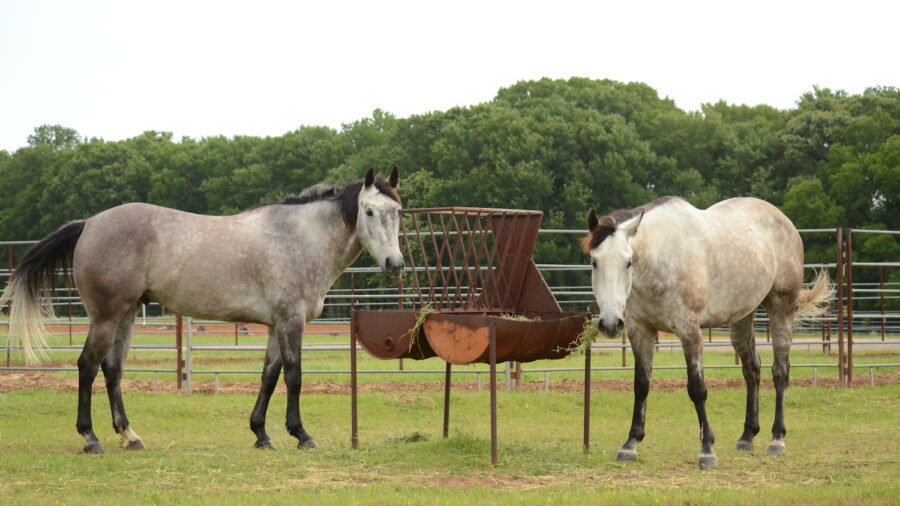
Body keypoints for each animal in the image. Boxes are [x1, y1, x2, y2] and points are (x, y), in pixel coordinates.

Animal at [0, 168, 404, 454]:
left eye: (398, 212)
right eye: (369, 211)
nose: (394, 264)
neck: (299, 237)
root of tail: (89, 224)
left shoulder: (275, 325)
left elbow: (268, 377)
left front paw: (261, 433)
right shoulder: (291, 321)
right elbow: (294, 376)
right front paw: (301, 434)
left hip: (125, 314)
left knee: (111, 368)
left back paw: (130, 435)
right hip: (105, 315)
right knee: (87, 365)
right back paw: (91, 438)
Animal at [582, 196, 831, 469]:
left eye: (628, 261)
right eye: (595, 262)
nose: (610, 323)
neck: (662, 259)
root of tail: (785, 222)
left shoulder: (689, 330)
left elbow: (697, 388)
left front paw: (707, 449)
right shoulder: (640, 331)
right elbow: (641, 385)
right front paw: (630, 444)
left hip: (781, 309)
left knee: (780, 372)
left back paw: (777, 439)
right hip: (742, 317)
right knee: (751, 370)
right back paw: (747, 437)